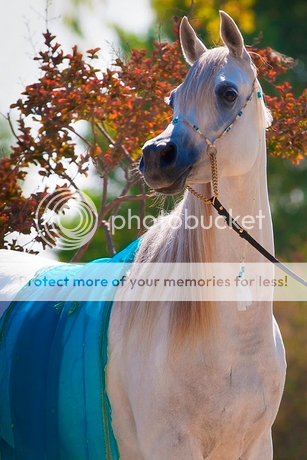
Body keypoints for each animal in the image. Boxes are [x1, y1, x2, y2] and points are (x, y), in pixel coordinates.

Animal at [1, 10, 288, 460]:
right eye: (172, 99)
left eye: (228, 93)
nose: (155, 156)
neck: (233, 338)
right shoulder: (170, 446)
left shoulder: (256, 446)